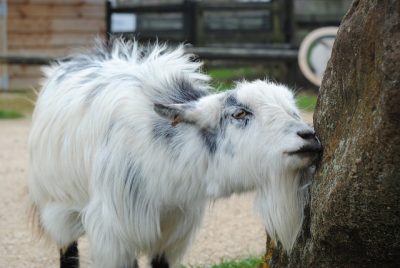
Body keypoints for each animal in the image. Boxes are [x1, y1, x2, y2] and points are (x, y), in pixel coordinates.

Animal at [28, 38, 322, 266]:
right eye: (239, 113)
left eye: (293, 110)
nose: (309, 137)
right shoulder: (115, 233)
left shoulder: (174, 232)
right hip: (56, 207)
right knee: (67, 251)